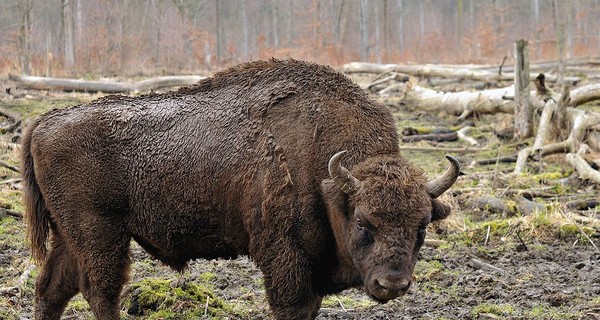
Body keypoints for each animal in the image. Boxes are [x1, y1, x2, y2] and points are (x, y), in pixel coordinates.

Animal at [21, 58, 458, 318]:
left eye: (422, 227)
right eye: (364, 222)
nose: (392, 284)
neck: (328, 175)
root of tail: (44, 122)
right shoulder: (286, 260)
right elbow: (292, 307)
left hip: (70, 236)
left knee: (52, 288)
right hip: (100, 235)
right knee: (99, 290)